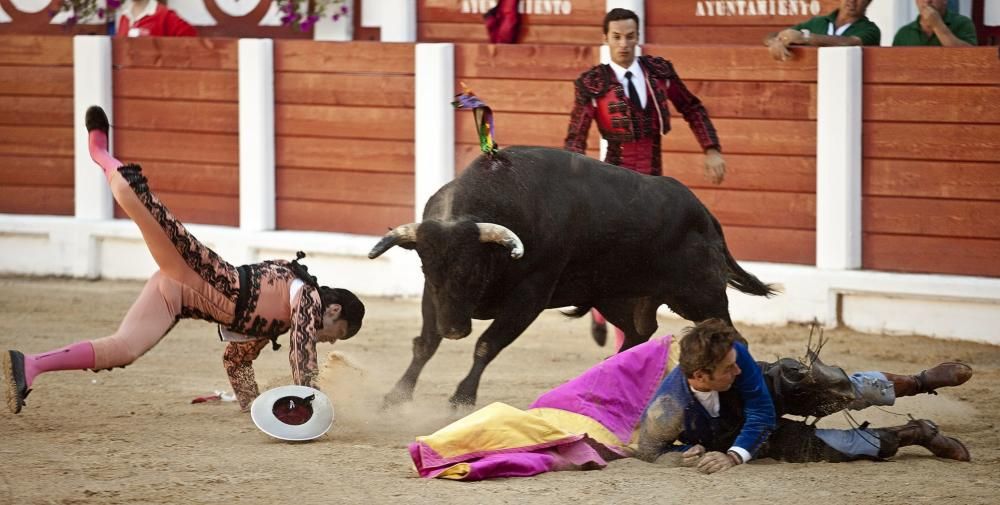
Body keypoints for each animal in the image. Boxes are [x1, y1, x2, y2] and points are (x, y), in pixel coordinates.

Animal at [368, 145, 772, 406]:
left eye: (474, 268)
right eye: (426, 266)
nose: (455, 329)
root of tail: (704, 214)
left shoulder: (531, 295)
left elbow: (487, 344)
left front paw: (461, 398)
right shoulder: (432, 295)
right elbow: (425, 343)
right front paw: (396, 396)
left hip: (700, 295)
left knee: (734, 338)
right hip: (616, 296)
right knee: (638, 332)